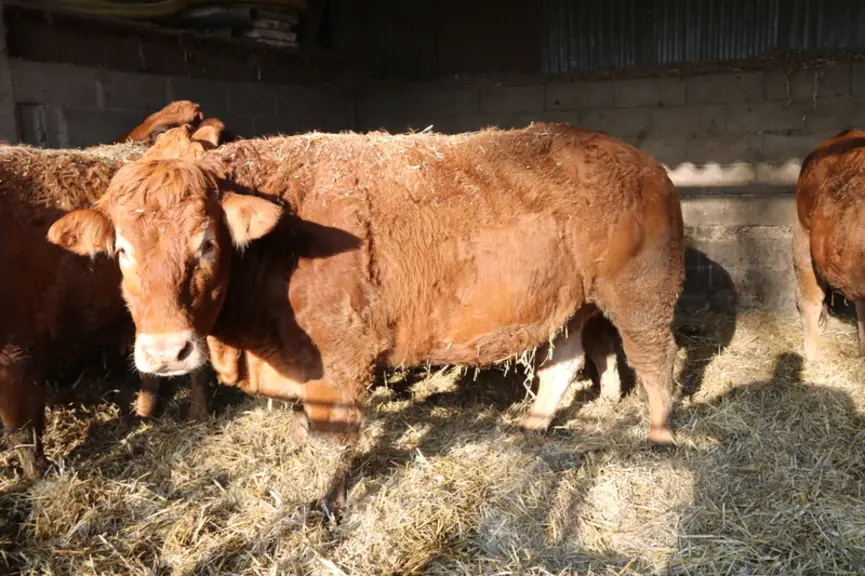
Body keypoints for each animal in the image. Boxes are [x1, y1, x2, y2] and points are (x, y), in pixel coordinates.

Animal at [48, 122, 685, 510]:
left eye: (206, 244)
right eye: (122, 250)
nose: (166, 353)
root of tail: (642, 160)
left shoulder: (340, 359)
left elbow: (333, 442)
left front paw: (323, 504)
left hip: (640, 293)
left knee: (656, 358)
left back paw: (660, 435)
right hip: (570, 300)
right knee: (565, 360)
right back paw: (533, 424)